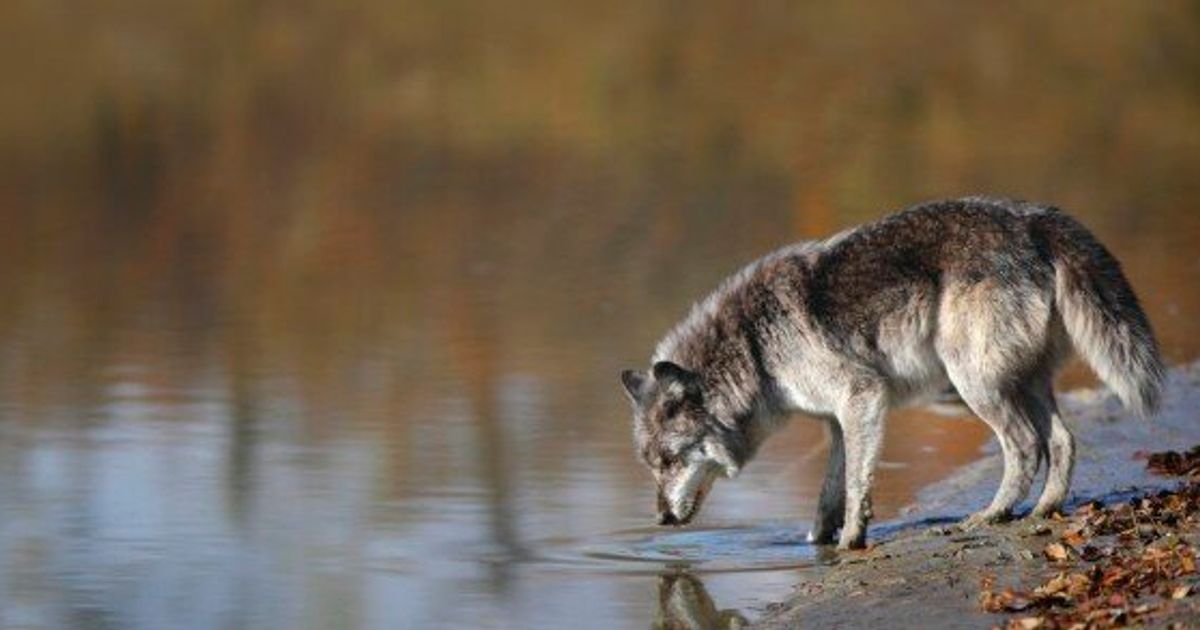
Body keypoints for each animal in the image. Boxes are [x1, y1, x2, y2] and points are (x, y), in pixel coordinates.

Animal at [619, 195, 1161, 544]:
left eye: (668, 462)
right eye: (652, 465)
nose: (660, 519)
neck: (753, 345)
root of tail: (1033, 220)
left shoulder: (862, 396)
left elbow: (857, 486)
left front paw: (850, 543)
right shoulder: (837, 421)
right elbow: (829, 494)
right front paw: (814, 543)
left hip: (974, 383)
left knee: (1026, 445)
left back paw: (989, 516)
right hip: (1024, 383)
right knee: (1063, 441)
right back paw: (1044, 510)